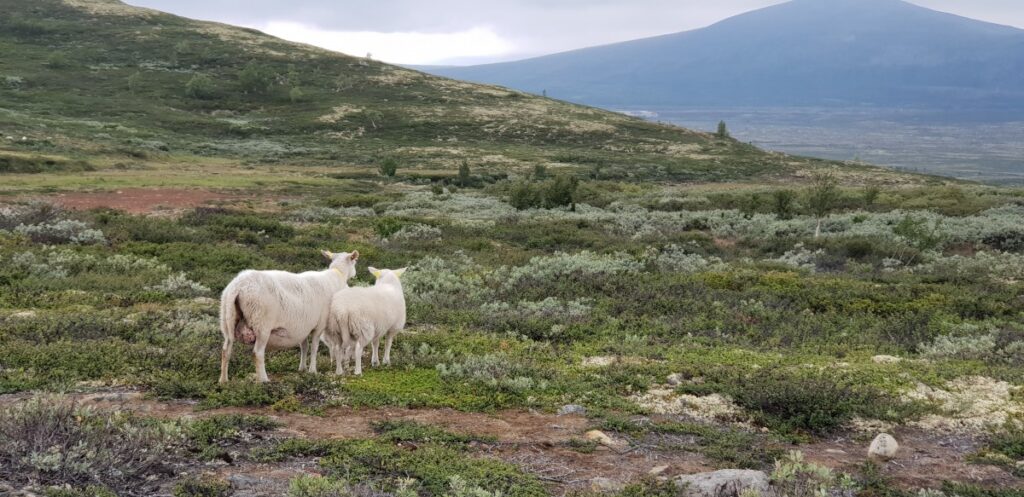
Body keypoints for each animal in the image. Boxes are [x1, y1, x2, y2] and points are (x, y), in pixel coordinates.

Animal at [218, 250, 358, 383]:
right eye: (354, 261)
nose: (355, 274)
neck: (336, 276)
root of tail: (239, 286)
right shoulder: (319, 324)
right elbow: (314, 348)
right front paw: (313, 370)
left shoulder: (303, 327)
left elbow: (304, 347)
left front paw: (302, 368)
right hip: (262, 324)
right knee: (257, 353)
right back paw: (263, 380)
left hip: (227, 319)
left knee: (226, 350)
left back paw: (224, 380)